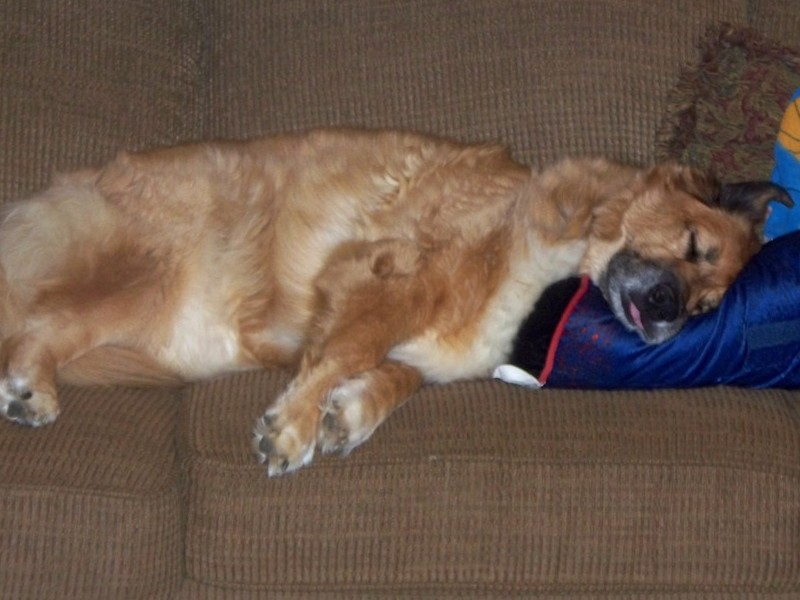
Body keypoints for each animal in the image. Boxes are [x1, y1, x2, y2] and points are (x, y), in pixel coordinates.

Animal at [0, 129, 792, 476]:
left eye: (706, 308)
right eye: (693, 244)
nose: (665, 309)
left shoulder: (425, 341)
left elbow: (394, 376)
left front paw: (346, 412)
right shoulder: (385, 276)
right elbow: (349, 348)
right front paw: (292, 427)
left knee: (42, 330)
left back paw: (30, 389)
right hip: (146, 272)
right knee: (34, 320)